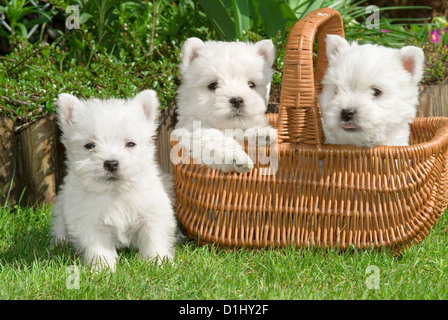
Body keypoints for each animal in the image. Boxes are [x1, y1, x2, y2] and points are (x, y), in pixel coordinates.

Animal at [172, 37, 274, 172]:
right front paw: (238, 157)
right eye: (213, 85)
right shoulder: (193, 130)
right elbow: (217, 140)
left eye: (251, 84)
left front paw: (262, 132)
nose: (237, 100)